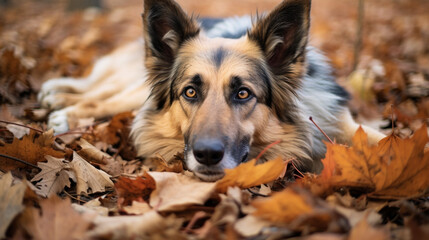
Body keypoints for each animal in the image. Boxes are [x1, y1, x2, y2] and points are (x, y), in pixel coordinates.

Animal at [37, 0, 384, 180]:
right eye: (190, 92)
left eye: (243, 94)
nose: (206, 155)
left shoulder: (342, 122)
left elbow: (384, 139)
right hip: (132, 92)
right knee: (99, 100)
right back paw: (62, 109)